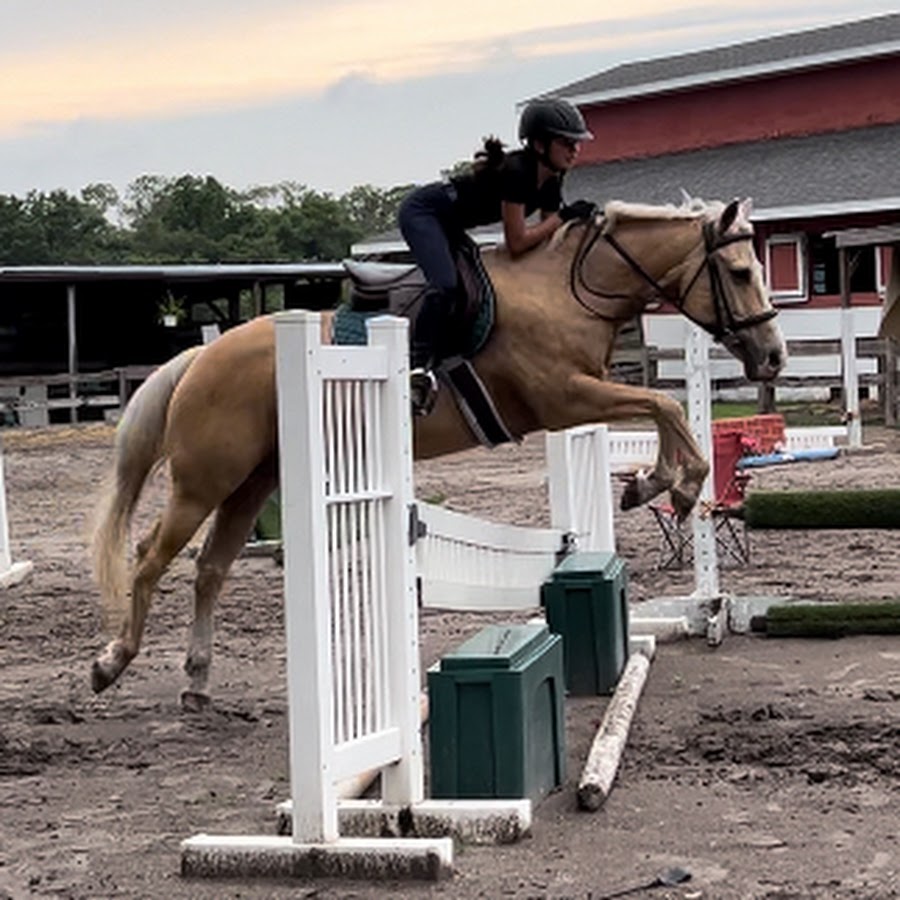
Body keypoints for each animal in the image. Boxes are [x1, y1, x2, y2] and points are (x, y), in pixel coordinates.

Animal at [90, 196, 786, 707]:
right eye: (741, 273)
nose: (774, 357)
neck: (567, 289)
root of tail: (202, 355)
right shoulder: (564, 397)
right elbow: (666, 407)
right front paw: (676, 486)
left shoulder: (583, 396)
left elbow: (664, 411)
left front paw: (654, 484)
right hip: (206, 480)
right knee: (150, 557)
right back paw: (111, 663)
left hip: (253, 481)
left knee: (211, 567)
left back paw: (196, 678)